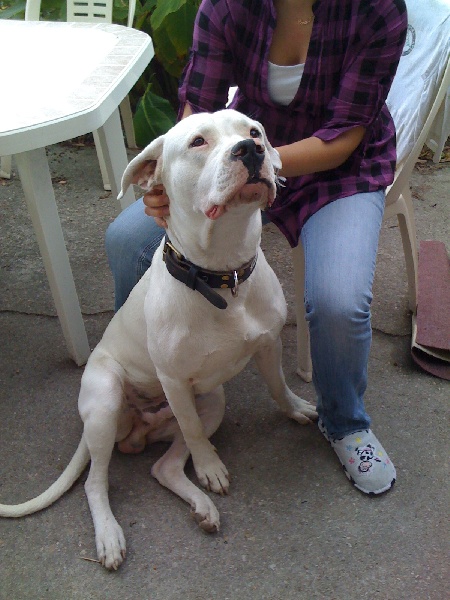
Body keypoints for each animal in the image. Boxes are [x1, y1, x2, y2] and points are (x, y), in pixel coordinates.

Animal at [0, 110, 317, 570]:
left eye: (254, 131)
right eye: (198, 141)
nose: (250, 150)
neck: (223, 275)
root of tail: (137, 431)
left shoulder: (267, 343)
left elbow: (277, 386)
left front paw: (296, 409)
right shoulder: (172, 379)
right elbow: (196, 436)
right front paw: (209, 466)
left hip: (213, 401)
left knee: (163, 467)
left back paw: (201, 507)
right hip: (105, 403)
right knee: (95, 483)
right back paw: (110, 536)